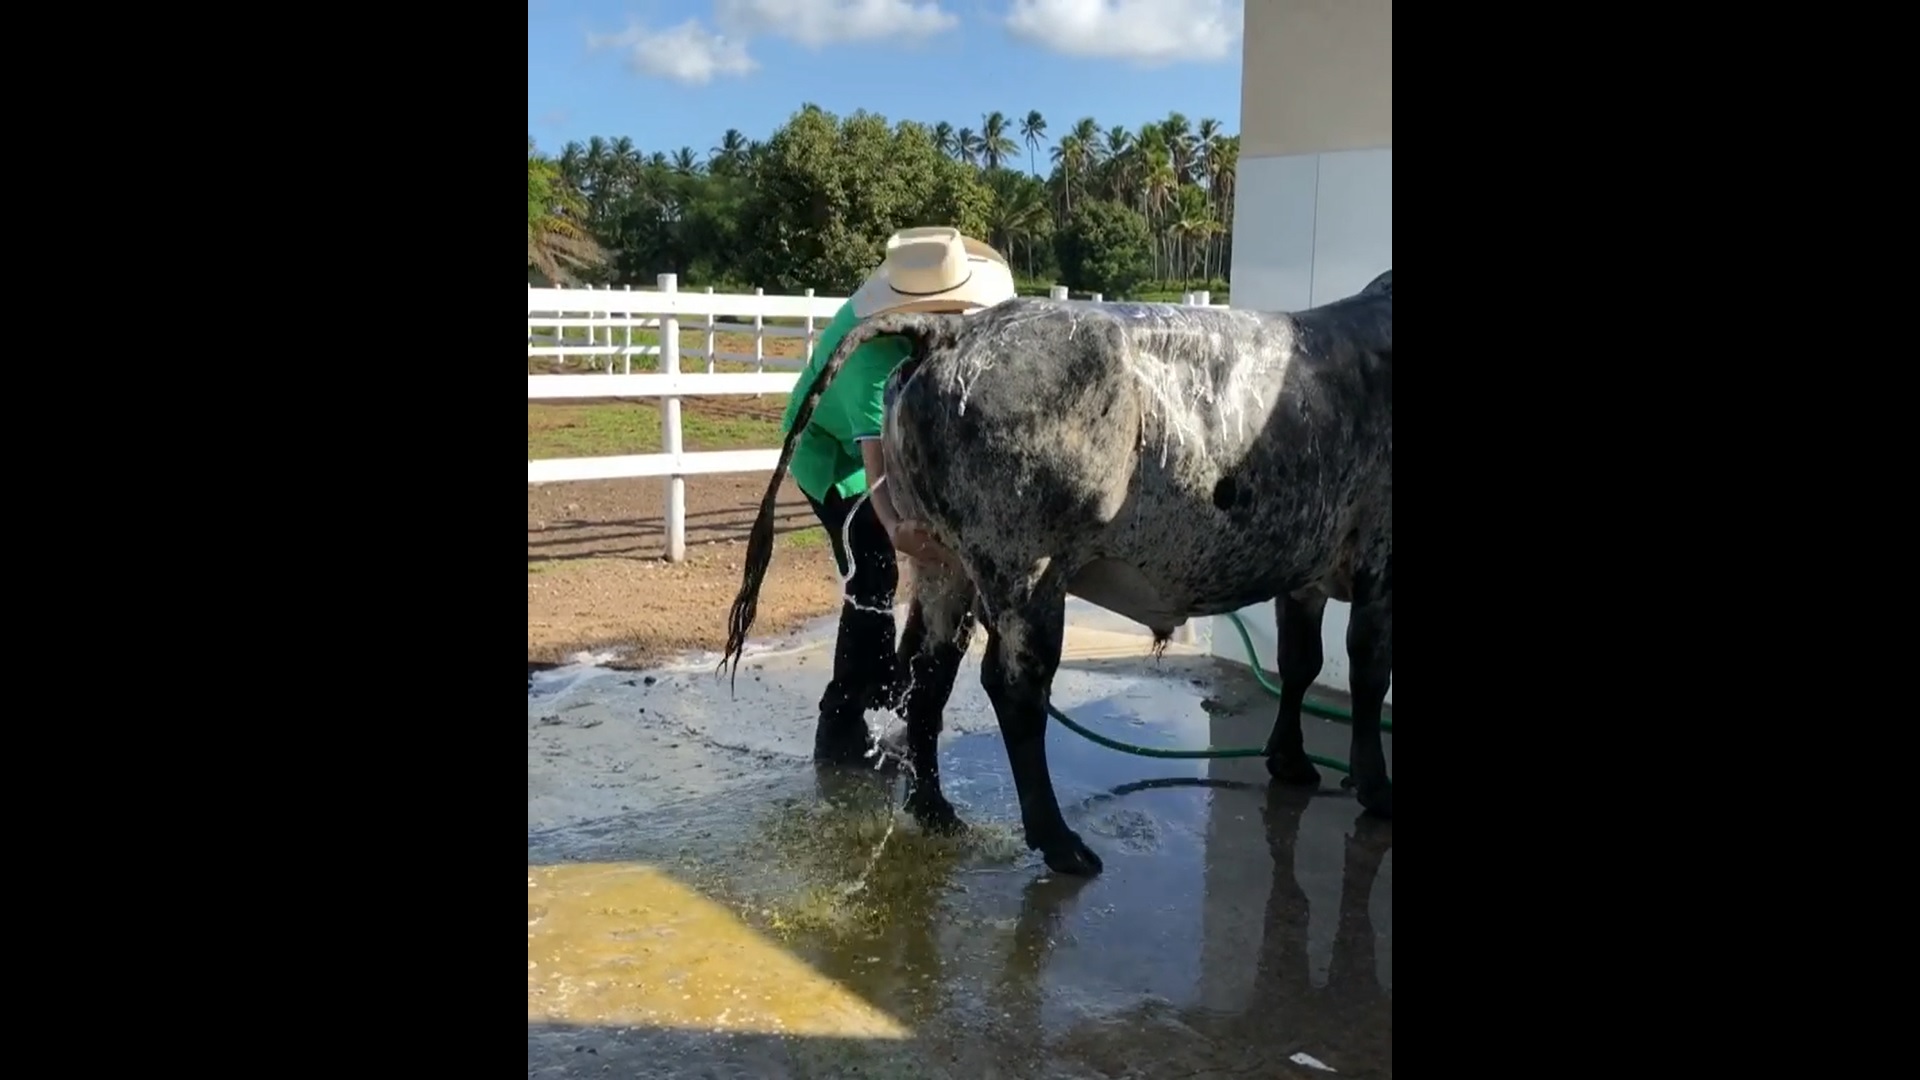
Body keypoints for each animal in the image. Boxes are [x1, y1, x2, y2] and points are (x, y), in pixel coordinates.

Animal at [721, 269, 1397, 876]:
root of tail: (950, 331)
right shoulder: (1381, 564)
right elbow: (1368, 674)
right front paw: (1374, 785)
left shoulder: (1305, 573)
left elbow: (1301, 663)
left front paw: (1291, 761)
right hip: (1029, 568)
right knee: (1015, 687)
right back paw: (1058, 841)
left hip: (945, 565)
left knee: (930, 674)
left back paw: (936, 809)